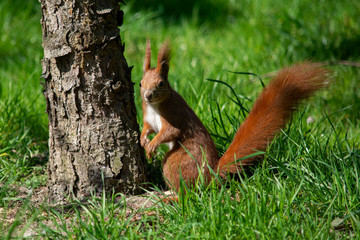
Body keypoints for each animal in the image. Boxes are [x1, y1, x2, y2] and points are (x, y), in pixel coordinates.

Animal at [140, 39, 330, 193]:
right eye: (141, 83)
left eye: (161, 83)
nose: (147, 95)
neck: (154, 106)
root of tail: (211, 176)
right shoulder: (148, 116)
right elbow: (148, 127)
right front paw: (143, 139)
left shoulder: (174, 114)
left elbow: (170, 132)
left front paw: (152, 145)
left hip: (176, 163)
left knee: (187, 192)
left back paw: (171, 196)